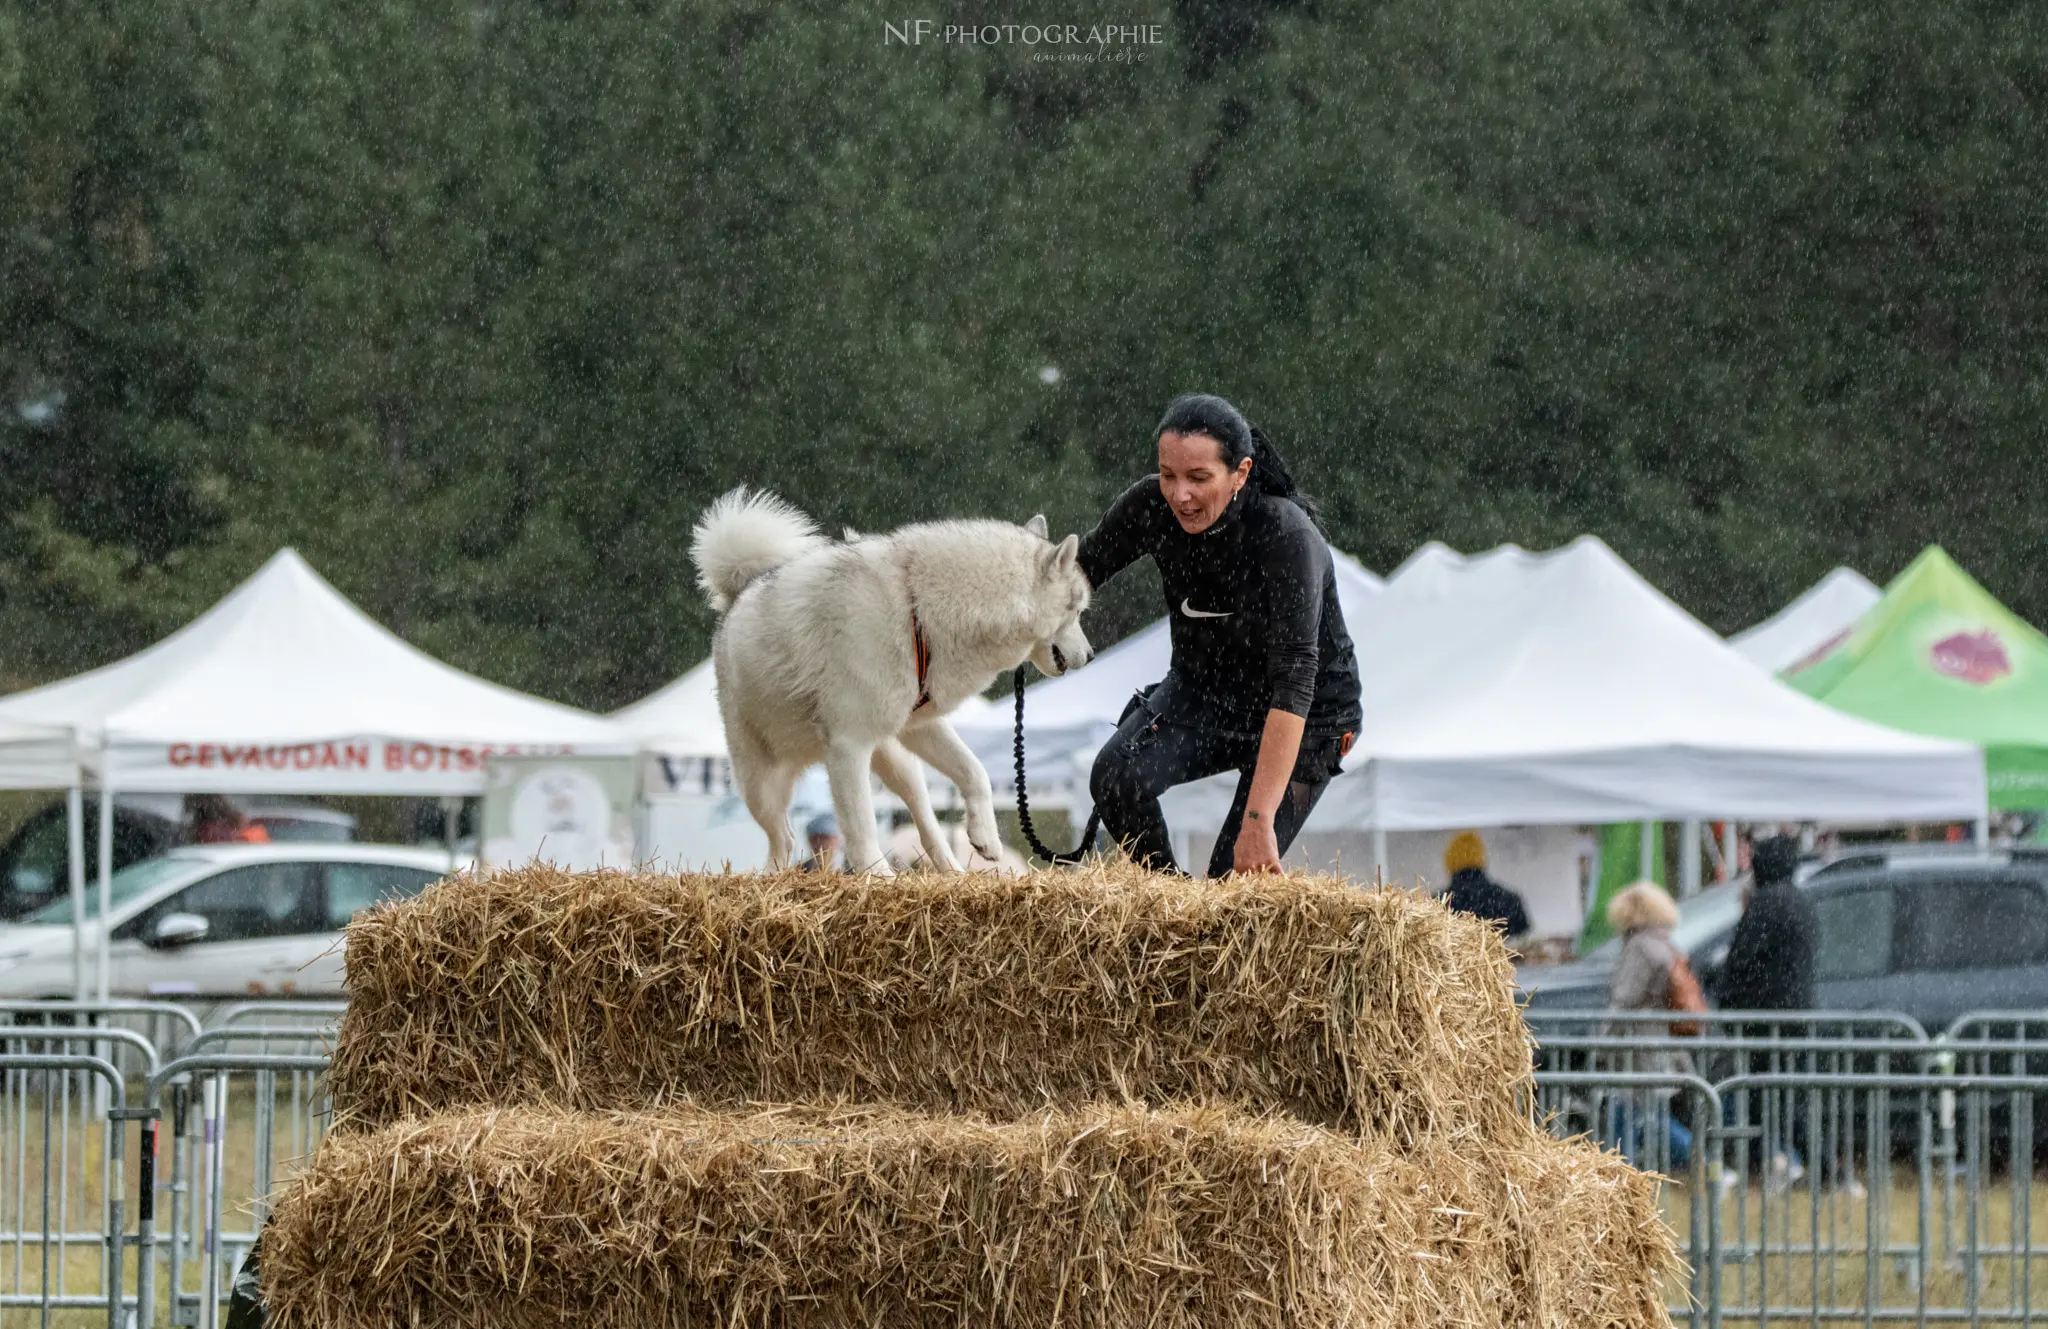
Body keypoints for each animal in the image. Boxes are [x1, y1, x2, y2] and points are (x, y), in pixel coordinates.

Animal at [692, 487, 1105, 872]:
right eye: (1078, 611)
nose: (1090, 656)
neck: (919, 611)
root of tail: (739, 592)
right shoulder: (848, 746)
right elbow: (861, 829)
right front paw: (878, 877)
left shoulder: (919, 726)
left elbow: (976, 772)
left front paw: (984, 836)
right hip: (762, 786)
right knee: (783, 838)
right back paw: (772, 878)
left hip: (900, 764)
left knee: (925, 821)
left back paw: (954, 871)